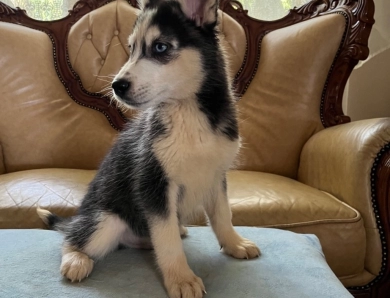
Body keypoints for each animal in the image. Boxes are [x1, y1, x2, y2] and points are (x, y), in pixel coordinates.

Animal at [38, 0, 260, 298]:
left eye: (160, 47)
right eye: (131, 48)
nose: (116, 86)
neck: (188, 113)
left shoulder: (215, 175)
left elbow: (223, 215)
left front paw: (235, 243)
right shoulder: (154, 184)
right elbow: (166, 238)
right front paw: (181, 278)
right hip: (105, 221)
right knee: (75, 237)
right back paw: (76, 259)